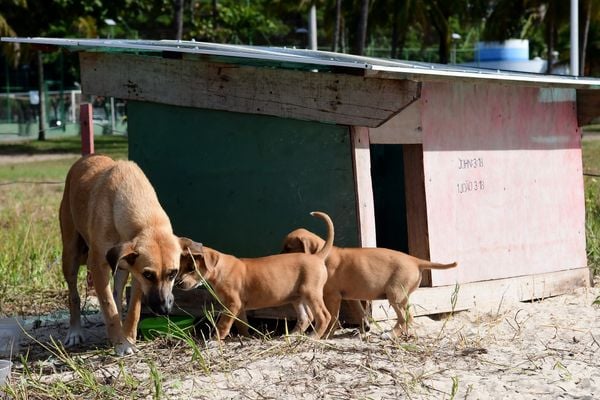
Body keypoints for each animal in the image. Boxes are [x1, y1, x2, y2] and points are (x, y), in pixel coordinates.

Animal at [59, 155, 191, 354]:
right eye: (148, 275)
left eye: (173, 273)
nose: (164, 309)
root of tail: (84, 159)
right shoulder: (99, 268)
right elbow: (108, 306)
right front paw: (121, 343)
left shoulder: (134, 271)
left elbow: (133, 308)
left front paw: (128, 337)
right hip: (70, 256)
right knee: (74, 296)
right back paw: (75, 332)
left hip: (120, 268)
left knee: (117, 293)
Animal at [176, 212, 336, 340]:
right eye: (180, 268)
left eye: (192, 268)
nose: (178, 284)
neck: (221, 269)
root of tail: (317, 257)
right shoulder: (239, 307)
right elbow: (242, 325)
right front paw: (246, 338)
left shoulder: (232, 305)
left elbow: (223, 324)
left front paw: (215, 340)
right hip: (297, 297)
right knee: (305, 317)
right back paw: (292, 335)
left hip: (311, 293)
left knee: (323, 316)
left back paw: (314, 336)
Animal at [280, 228, 454, 338]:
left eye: (288, 248)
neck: (323, 254)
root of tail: (415, 260)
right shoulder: (350, 297)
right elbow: (359, 312)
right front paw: (364, 328)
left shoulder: (332, 297)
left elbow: (333, 318)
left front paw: (327, 334)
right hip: (400, 297)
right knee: (406, 318)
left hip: (395, 295)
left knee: (406, 318)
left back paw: (391, 334)